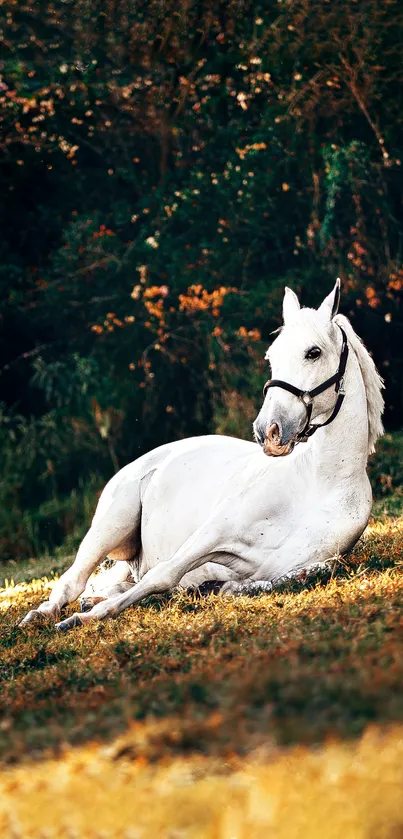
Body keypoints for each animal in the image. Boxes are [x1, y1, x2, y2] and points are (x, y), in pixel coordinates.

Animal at [19, 278, 386, 632]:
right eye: (271, 357)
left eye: (313, 352)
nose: (268, 431)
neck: (320, 482)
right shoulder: (213, 533)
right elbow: (163, 574)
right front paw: (85, 620)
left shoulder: (297, 564)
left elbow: (280, 579)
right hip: (109, 526)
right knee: (73, 582)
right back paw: (44, 615)